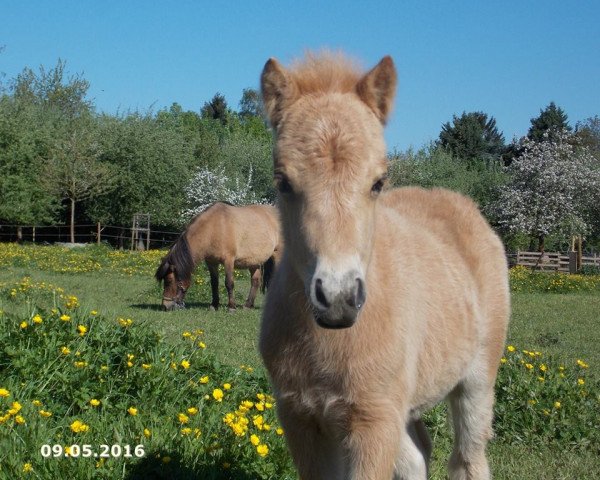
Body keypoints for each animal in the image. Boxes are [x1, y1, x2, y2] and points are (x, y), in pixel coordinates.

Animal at [258, 50, 510, 478]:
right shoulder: (300, 415)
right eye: (283, 183)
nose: (338, 298)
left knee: (468, 458)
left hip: (475, 381)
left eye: (378, 182)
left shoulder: (373, 421)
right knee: (418, 454)